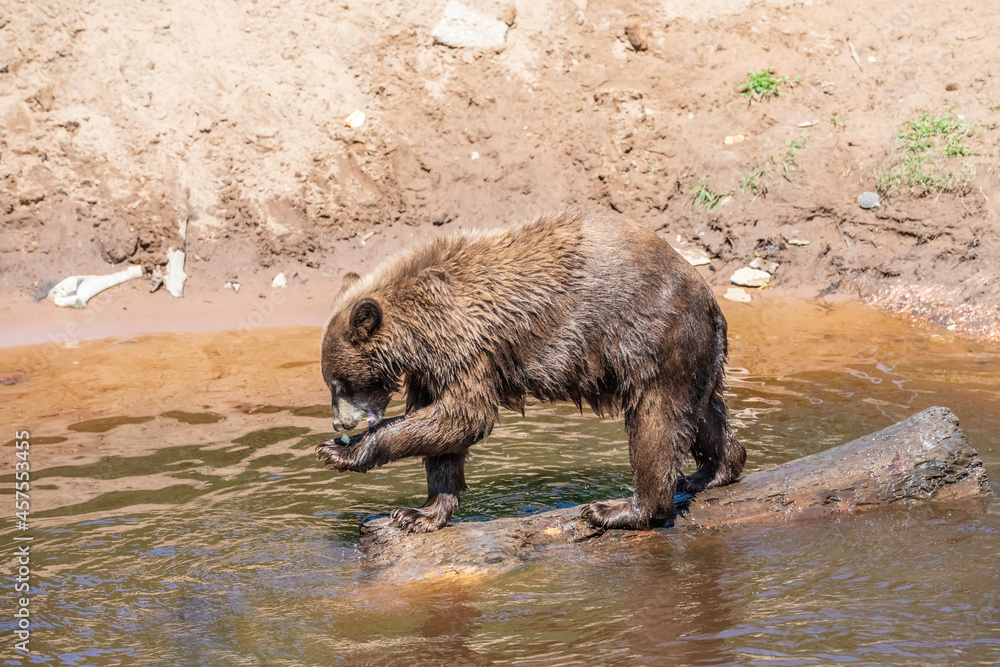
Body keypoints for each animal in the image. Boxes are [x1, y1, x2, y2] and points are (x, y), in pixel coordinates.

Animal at [316, 211, 748, 536]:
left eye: (338, 382)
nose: (339, 422)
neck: (418, 329)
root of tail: (708, 295)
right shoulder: (432, 367)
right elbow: (443, 434)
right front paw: (418, 513)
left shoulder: (466, 346)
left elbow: (465, 416)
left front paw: (343, 451)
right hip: (695, 353)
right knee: (703, 411)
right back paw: (711, 472)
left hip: (652, 338)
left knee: (654, 421)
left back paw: (619, 509)